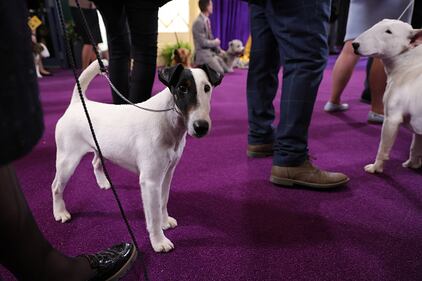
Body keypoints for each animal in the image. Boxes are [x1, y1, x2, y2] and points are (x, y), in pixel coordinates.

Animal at [52, 59, 223, 252]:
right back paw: (60, 212)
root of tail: (76, 104)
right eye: (182, 88)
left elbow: (163, 201)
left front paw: (165, 221)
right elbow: (153, 215)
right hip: (67, 161)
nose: (201, 127)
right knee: (56, 187)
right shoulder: (150, 181)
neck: (168, 121)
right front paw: (159, 241)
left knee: (95, 163)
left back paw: (103, 183)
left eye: (207, 88)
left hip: (99, 148)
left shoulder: (167, 174)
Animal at [352, 19, 422, 173]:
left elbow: (383, 147)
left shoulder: (391, 119)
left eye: (389, 31)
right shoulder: (418, 126)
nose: (354, 44)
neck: (408, 64)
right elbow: (415, 146)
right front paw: (412, 164)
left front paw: (375, 167)